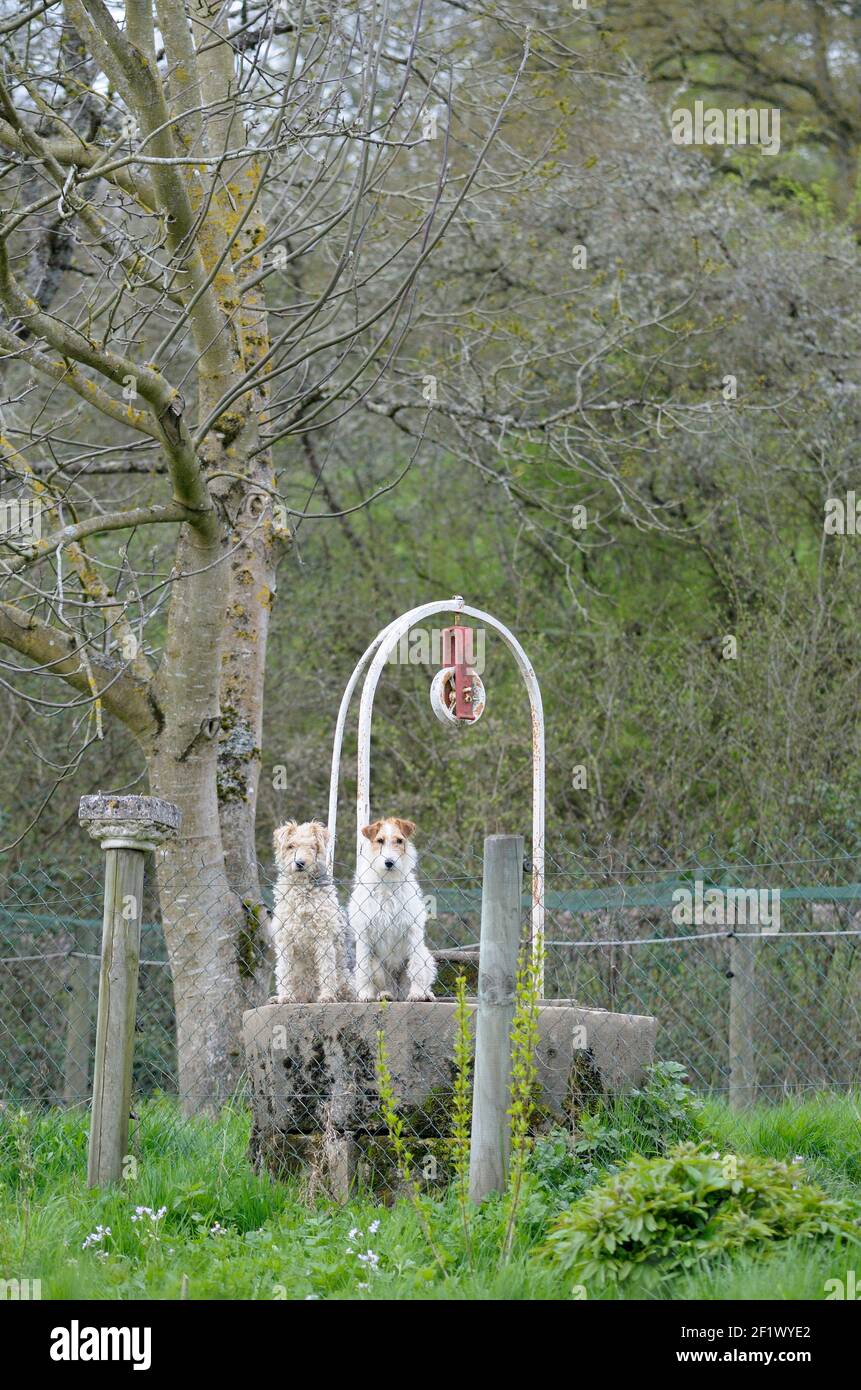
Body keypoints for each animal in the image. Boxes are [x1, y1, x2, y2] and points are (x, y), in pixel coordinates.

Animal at [268, 817, 351, 1006]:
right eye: (290, 846)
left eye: (313, 846)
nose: (300, 863)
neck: (302, 892)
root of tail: (308, 997)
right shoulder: (285, 939)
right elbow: (285, 972)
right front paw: (285, 997)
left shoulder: (324, 937)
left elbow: (326, 970)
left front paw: (327, 996)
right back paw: (279, 998)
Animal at [349, 811, 436, 1000]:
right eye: (380, 840)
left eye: (399, 841)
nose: (389, 862)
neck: (387, 882)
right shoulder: (364, 932)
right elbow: (364, 970)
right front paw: (365, 994)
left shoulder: (413, 929)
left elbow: (416, 968)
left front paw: (417, 994)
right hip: (379, 967)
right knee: (382, 982)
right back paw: (384, 994)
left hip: (425, 956)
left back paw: (425, 994)